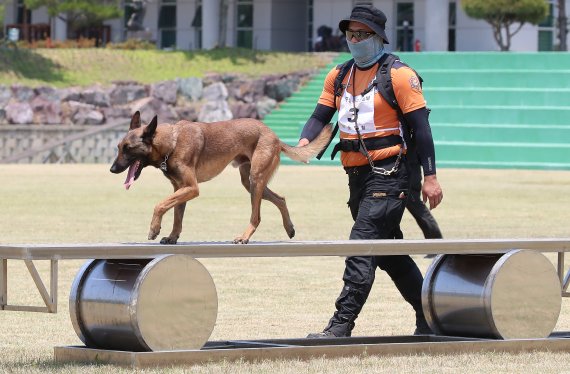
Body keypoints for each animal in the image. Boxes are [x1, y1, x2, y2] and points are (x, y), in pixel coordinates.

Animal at [109, 111, 330, 244]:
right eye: (119, 147)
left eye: (128, 149)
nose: (112, 169)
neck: (171, 143)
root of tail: (274, 136)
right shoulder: (180, 188)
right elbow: (177, 216)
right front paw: (172, 237)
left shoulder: (191, 188)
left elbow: (160, 204)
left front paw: (154, 228)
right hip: (250, 182)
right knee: (280, 199)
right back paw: (289, 228)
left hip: (256, 180)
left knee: (256, 216)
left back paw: (244, 236)